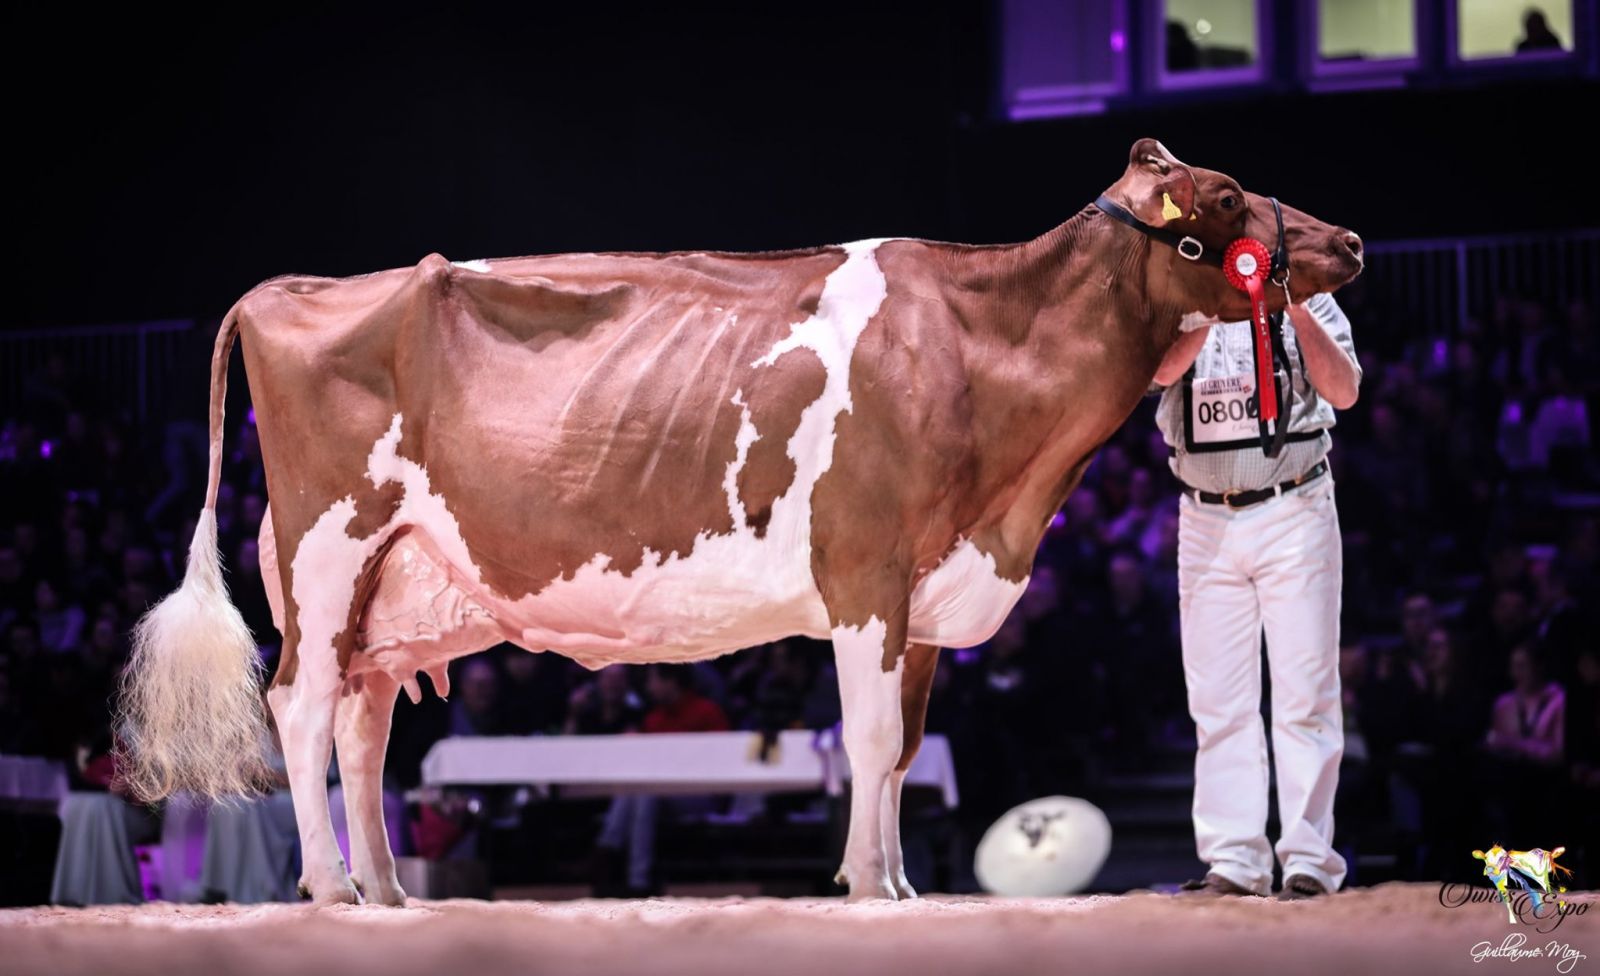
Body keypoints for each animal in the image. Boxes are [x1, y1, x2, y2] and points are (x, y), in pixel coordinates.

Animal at [117, 138, 1363, 905]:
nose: (1348, 241)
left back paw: (381, 890)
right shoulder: (865, 567)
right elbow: (868, 738)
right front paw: (867, 887)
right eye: (1224, 197)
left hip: (391, 579)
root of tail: (286, 289)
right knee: (300, 705)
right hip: (327, 547)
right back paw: (331, 886)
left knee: (362, 724)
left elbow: (902, 746)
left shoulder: (920, 593)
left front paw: (898, 879)